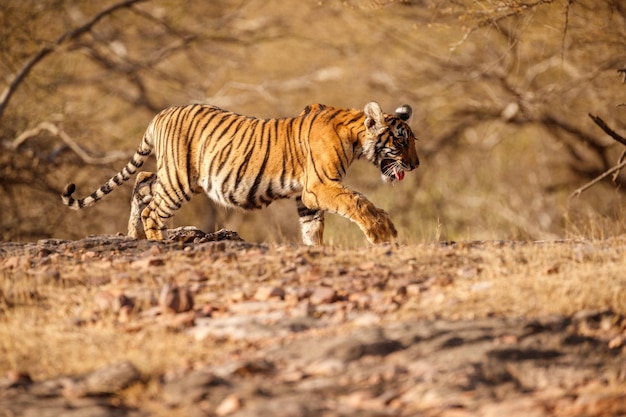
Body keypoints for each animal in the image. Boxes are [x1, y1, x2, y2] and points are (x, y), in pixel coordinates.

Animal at [62, 101, 420, 244]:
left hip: (172, 175)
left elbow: (312, 228)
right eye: (401, 141)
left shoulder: (307, 197)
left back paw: (134, 235)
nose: (416, 165)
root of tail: (159, 115)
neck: (355, 138)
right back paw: (159, 242)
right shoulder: (321, 185)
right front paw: (383, 233)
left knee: (141, 181)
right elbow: (358, 202)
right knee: (152, 208)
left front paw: (314, 250)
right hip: (179, 179)